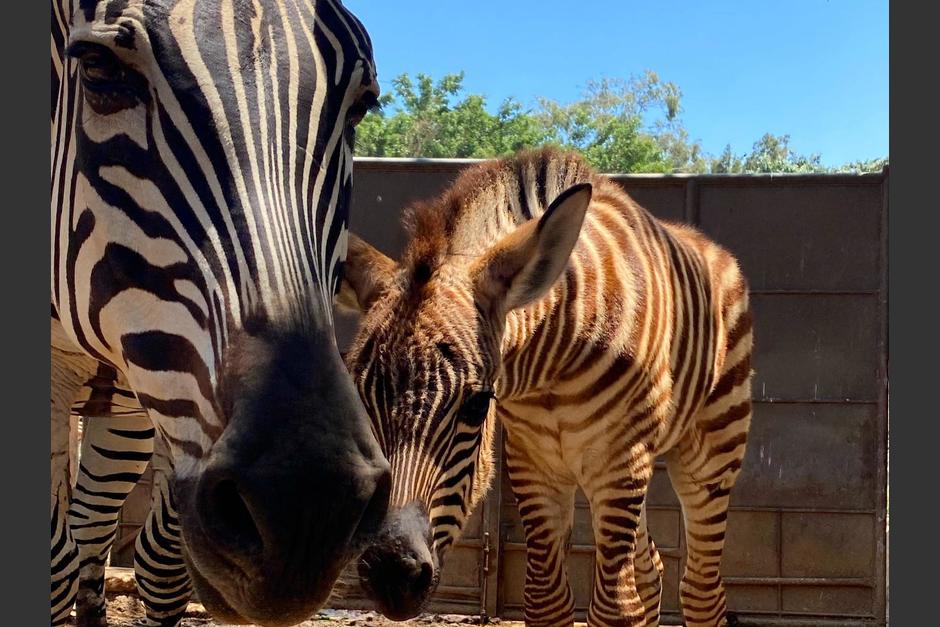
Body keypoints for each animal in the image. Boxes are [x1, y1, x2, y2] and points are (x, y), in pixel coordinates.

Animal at [51, 1, 392, 625]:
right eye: (98, 70)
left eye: (360, 105)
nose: (307, 507)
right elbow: (51, 565)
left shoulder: (159, 386)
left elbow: (161, 567)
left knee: (93, 521)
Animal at [340, 148, 754, 626]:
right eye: (359, 399)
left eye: (477, 405)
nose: (391, 575)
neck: (553, 366)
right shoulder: (533, 462)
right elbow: (545, 599)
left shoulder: (620, 461)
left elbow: (615, 607)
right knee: (650, 570)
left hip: (711, 449)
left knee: (701, 589)